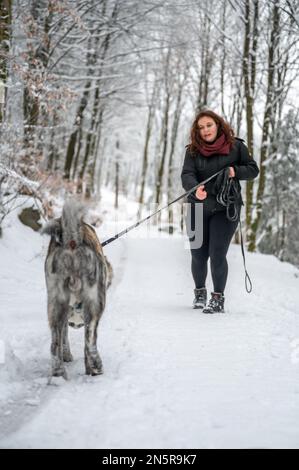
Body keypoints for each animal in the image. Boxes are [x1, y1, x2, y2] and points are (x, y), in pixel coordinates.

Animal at [42, 202, 112, 378]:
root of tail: (72, 240)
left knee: (55, 343)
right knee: (90, 342)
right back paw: (96, 368)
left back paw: (59, 372)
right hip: (95, 304)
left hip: (56, 302)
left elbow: (63, 338)